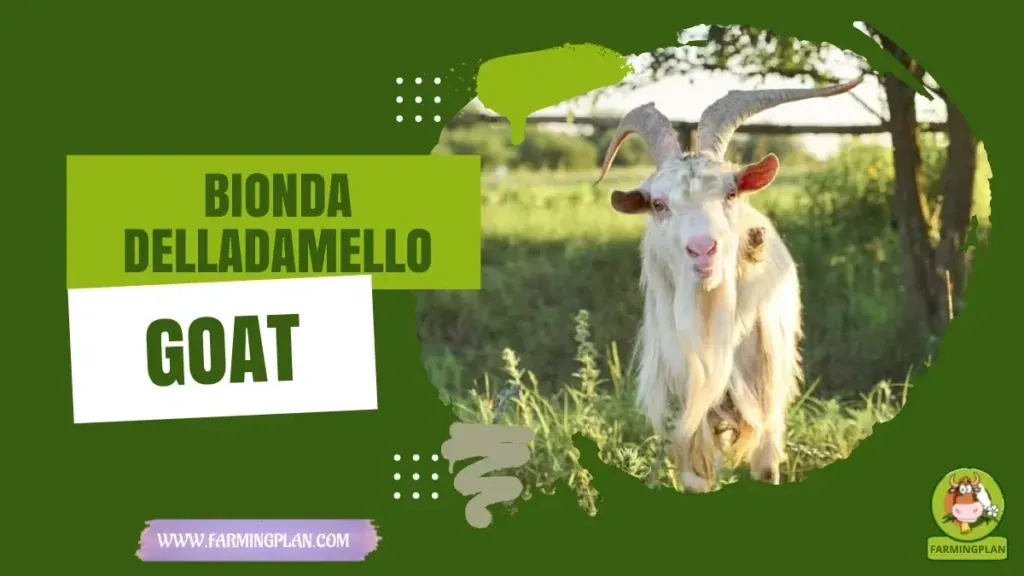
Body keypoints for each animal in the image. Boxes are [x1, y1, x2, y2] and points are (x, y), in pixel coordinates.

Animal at [595, 77, 863, 492]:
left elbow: (766, 467)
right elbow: (697, 477)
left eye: (731, 191)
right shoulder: (684, 410)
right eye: (658, 204)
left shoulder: (764, 393)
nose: (702, 249)